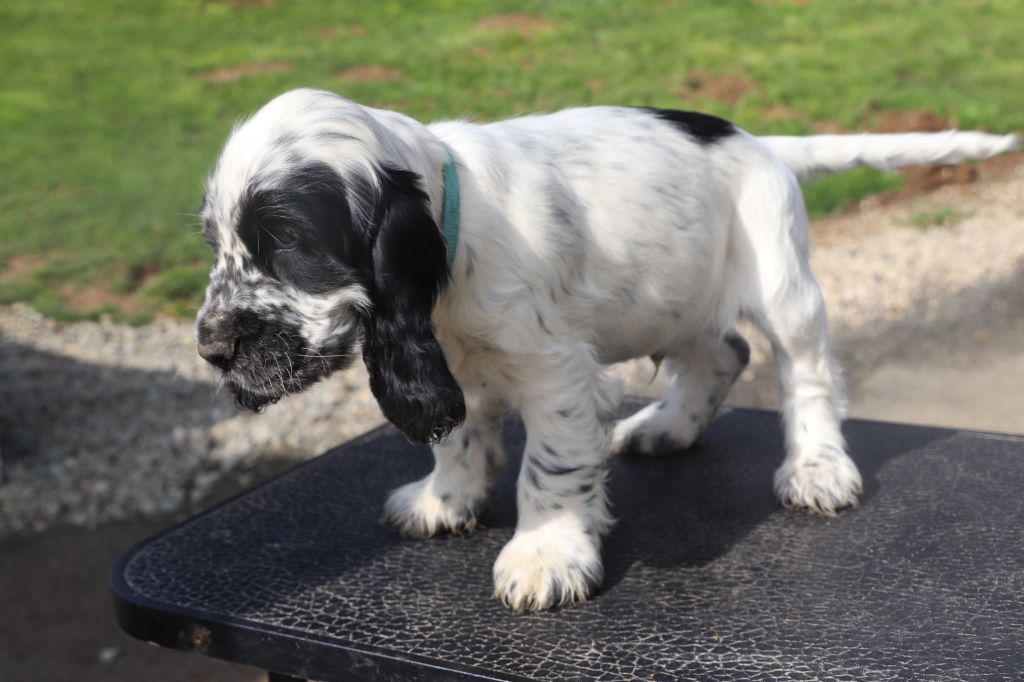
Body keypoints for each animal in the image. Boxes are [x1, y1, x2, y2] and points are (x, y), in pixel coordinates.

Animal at [196, 88, 1017, 611]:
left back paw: (817, 467)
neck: (452, 220)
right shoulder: (447, 358)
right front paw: (445, 499)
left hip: (782, 278)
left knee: (805, 372)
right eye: (217, 245)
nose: (210, 348)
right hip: (676, 296)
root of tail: (757, 140)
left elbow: (550, 468)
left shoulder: (556, 372)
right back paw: (665, 427)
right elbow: (457, 434)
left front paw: (547, 555)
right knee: (723, 354)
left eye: (288, 244)